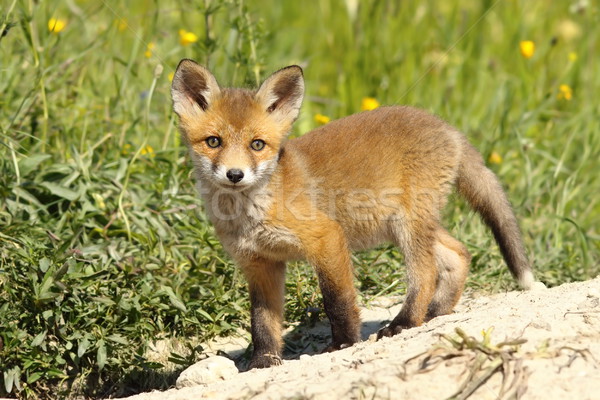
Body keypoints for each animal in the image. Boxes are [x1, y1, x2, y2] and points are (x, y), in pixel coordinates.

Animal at [170, 58, 540, 368]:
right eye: (214, 141)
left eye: (257, 145)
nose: (235, 175)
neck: (250, 215)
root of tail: (447, 127)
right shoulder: (260, 265)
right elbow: (262, 322)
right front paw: (263, 362)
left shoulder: (327, 239)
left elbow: (338, 300)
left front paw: (344, 343)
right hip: (407, 225)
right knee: (459, 254)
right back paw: (434, 314)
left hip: (407, 226)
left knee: (425, 274)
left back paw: (405, 322)